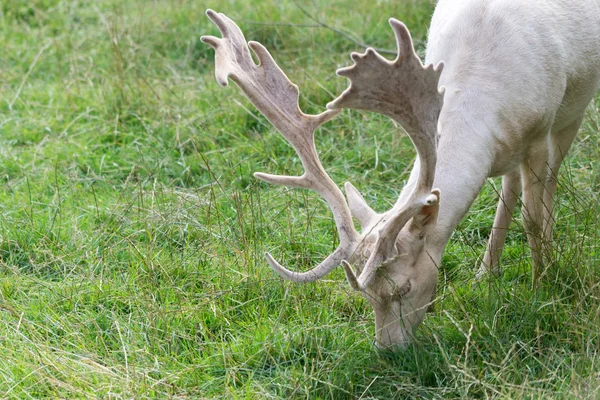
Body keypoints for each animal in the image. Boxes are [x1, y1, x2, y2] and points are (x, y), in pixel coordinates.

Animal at [203, 0, 600, 348]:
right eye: (367, 297)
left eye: (405, 288)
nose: (388, 349)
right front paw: (492, 274)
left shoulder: (540, 130)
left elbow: (533, 216)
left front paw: (541, 283)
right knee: (510, 183)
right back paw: (487, 270)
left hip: (572, 109)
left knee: (549, 177)